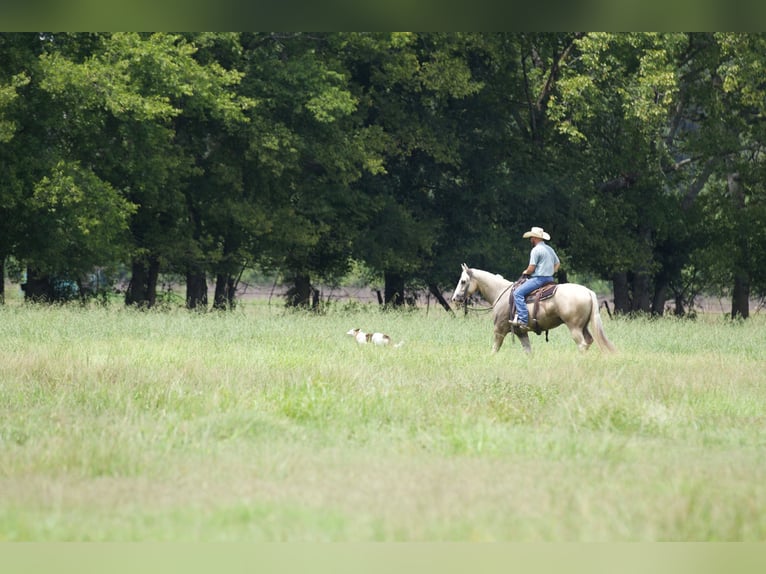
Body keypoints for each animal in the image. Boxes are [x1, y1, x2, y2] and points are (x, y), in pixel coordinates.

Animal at [450, 266, 616, 356]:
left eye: (463, 281)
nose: (454, 298)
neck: (500, 293)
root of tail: (588, 291)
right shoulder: (521, 332)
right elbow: (528, 351)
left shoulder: (499, 330)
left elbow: (494, 349)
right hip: (584, 326)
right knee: (588, 341)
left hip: (574, 327)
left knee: (581, 344)